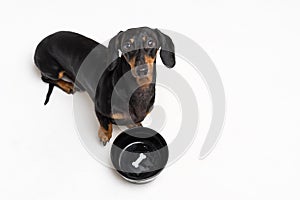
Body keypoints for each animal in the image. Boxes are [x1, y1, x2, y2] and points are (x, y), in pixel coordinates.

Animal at [34, 27, 176, 145]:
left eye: (151, 42)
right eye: (127, 45)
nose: (142, 70)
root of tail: (42, 42)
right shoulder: (99, 109)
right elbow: (106, 125)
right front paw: (104, 135)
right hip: (53, 70)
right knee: (46, 78)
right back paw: (69, 85)